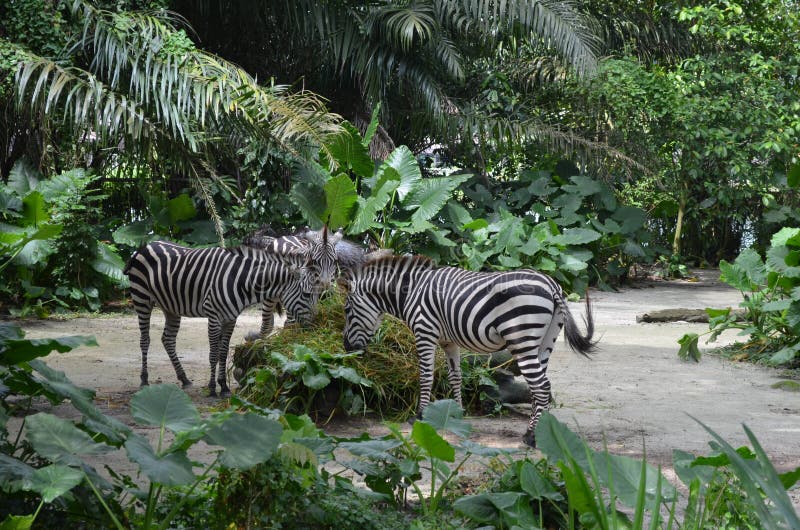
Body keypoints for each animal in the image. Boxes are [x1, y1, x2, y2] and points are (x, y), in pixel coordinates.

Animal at [124, 240, 324, 397]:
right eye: (307, 294)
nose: (316, 325)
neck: (242, 282)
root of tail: (144, 246)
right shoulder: (213, 316)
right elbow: (213, 353)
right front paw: (213, 388)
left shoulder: (230, 319)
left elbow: (222, 351)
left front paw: (224, 386)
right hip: (141, 298)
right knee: (145, 340)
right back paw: (144, 380)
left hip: (170, 306)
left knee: (168, 339)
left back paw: (184, 378)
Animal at [339, 255, 597, 447]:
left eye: (347, 310)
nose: (347, 347)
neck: (410, 292)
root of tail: (552, 285)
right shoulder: (448, 342)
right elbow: (456, 377)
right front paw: (457, 413)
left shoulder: (425, 333)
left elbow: (425, 376)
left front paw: (420, 416)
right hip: (544, 343)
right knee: (539, 387)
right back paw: (539, 432)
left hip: (521, 339)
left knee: (541, 387)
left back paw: (531, 437)